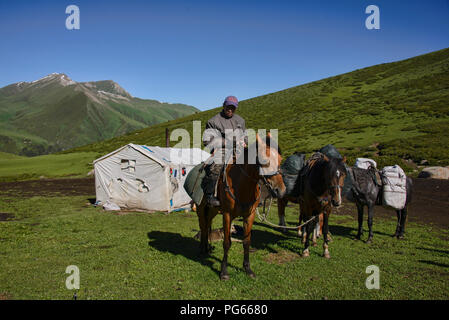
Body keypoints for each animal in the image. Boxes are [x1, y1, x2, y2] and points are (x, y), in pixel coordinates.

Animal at [197, 132, 288, 280]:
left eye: (280, 159)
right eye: (264, 160)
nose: (281, 191)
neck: (241, 185)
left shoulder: (249, 215)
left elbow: (246, 241)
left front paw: (247, 269)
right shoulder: (227, 215)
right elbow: (227, 242)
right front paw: (224, 272)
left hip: (212, 210)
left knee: (207, 224)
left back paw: (206, 248)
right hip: (200, 209)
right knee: (203, 226)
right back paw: (201, 249)